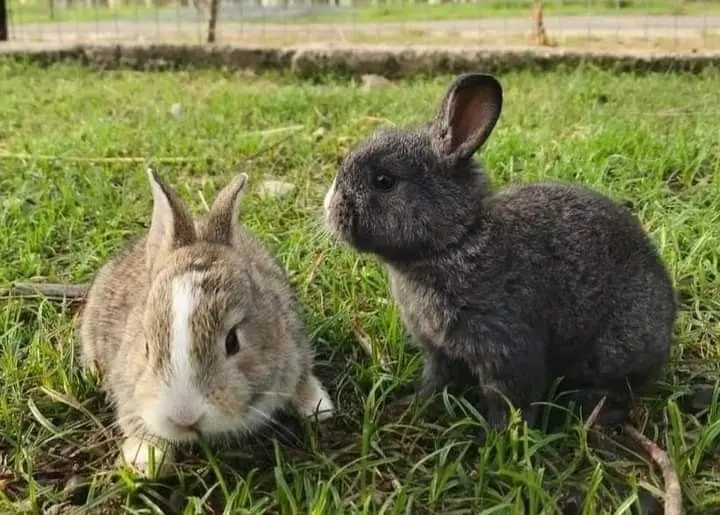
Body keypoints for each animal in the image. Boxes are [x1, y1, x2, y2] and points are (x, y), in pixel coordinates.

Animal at [78, 169, 334, 476]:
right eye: (147, 346)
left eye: (233, 341)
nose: (184, 416)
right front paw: (145, 458)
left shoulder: (294, 345)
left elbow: (302, 380)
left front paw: (319, 408)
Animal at [323, 72, 676, 431]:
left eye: (385, 181)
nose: (330, 206)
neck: (457, 239)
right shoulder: (439, 351)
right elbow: (436, 382)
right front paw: (409, 407)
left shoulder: (507, 346)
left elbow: (509, 401)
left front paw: (499, 437)